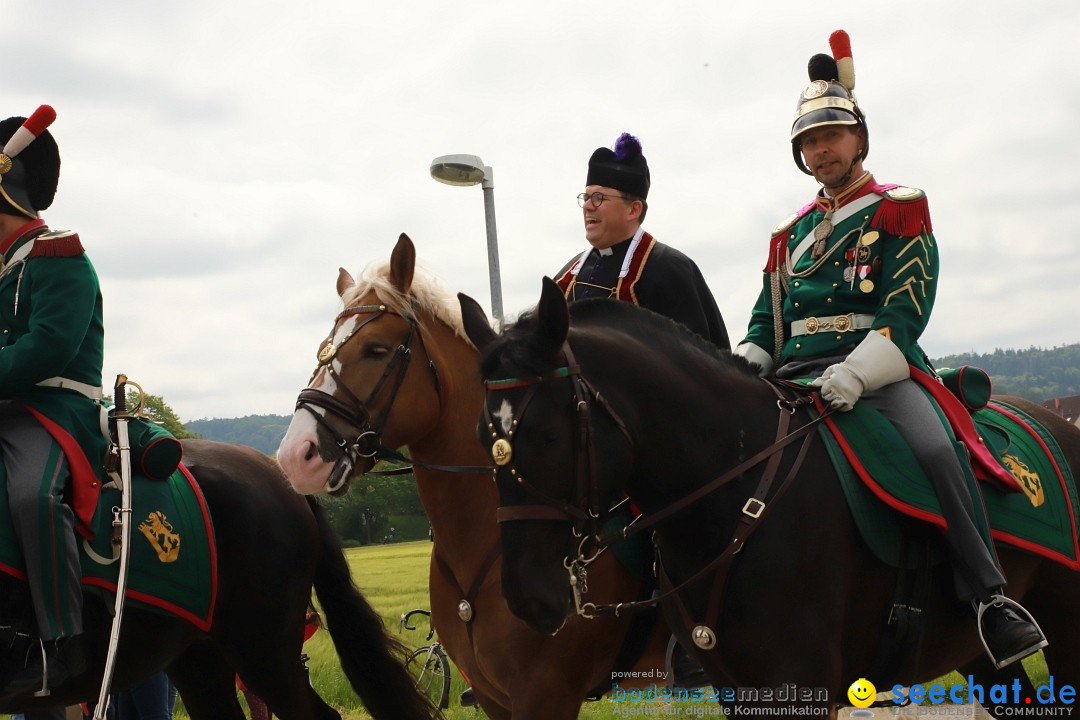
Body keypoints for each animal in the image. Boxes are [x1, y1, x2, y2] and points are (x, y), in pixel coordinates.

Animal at [455, 278, 1080, 716]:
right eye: (486, 438)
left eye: (547, 435)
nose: (526, 599)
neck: (735, 494)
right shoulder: (740, 690)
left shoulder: (800, 685)